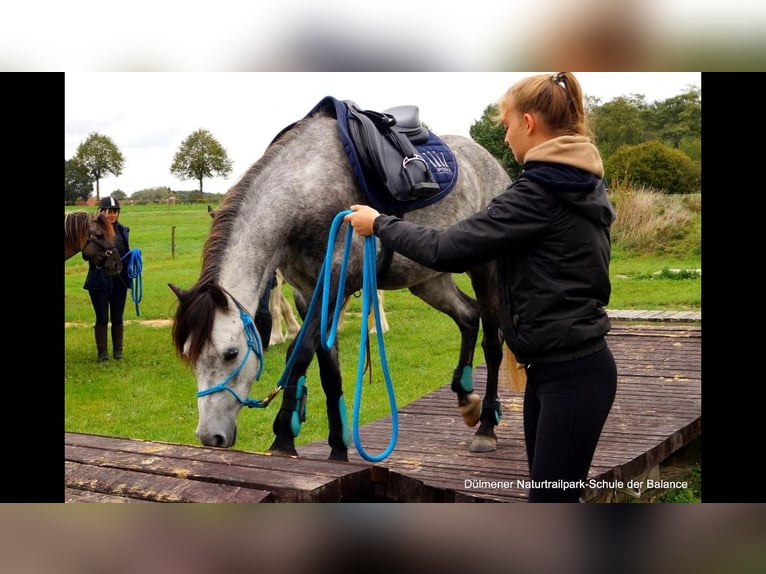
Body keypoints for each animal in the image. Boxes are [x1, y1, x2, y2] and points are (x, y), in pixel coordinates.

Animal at [170, 108, 511, 460]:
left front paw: (284, 436)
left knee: (492, 342)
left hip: (484, 270)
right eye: (189, 355)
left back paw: (486, 426)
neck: (306, 189)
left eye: (231, 353)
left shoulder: (336, 287)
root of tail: (492, 163)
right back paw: (465, 396)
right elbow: (328, 369)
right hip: (428, 281)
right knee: (468, 316)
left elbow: (300, 353)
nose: (210, 436)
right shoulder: (308, 294)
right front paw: (338, 448)